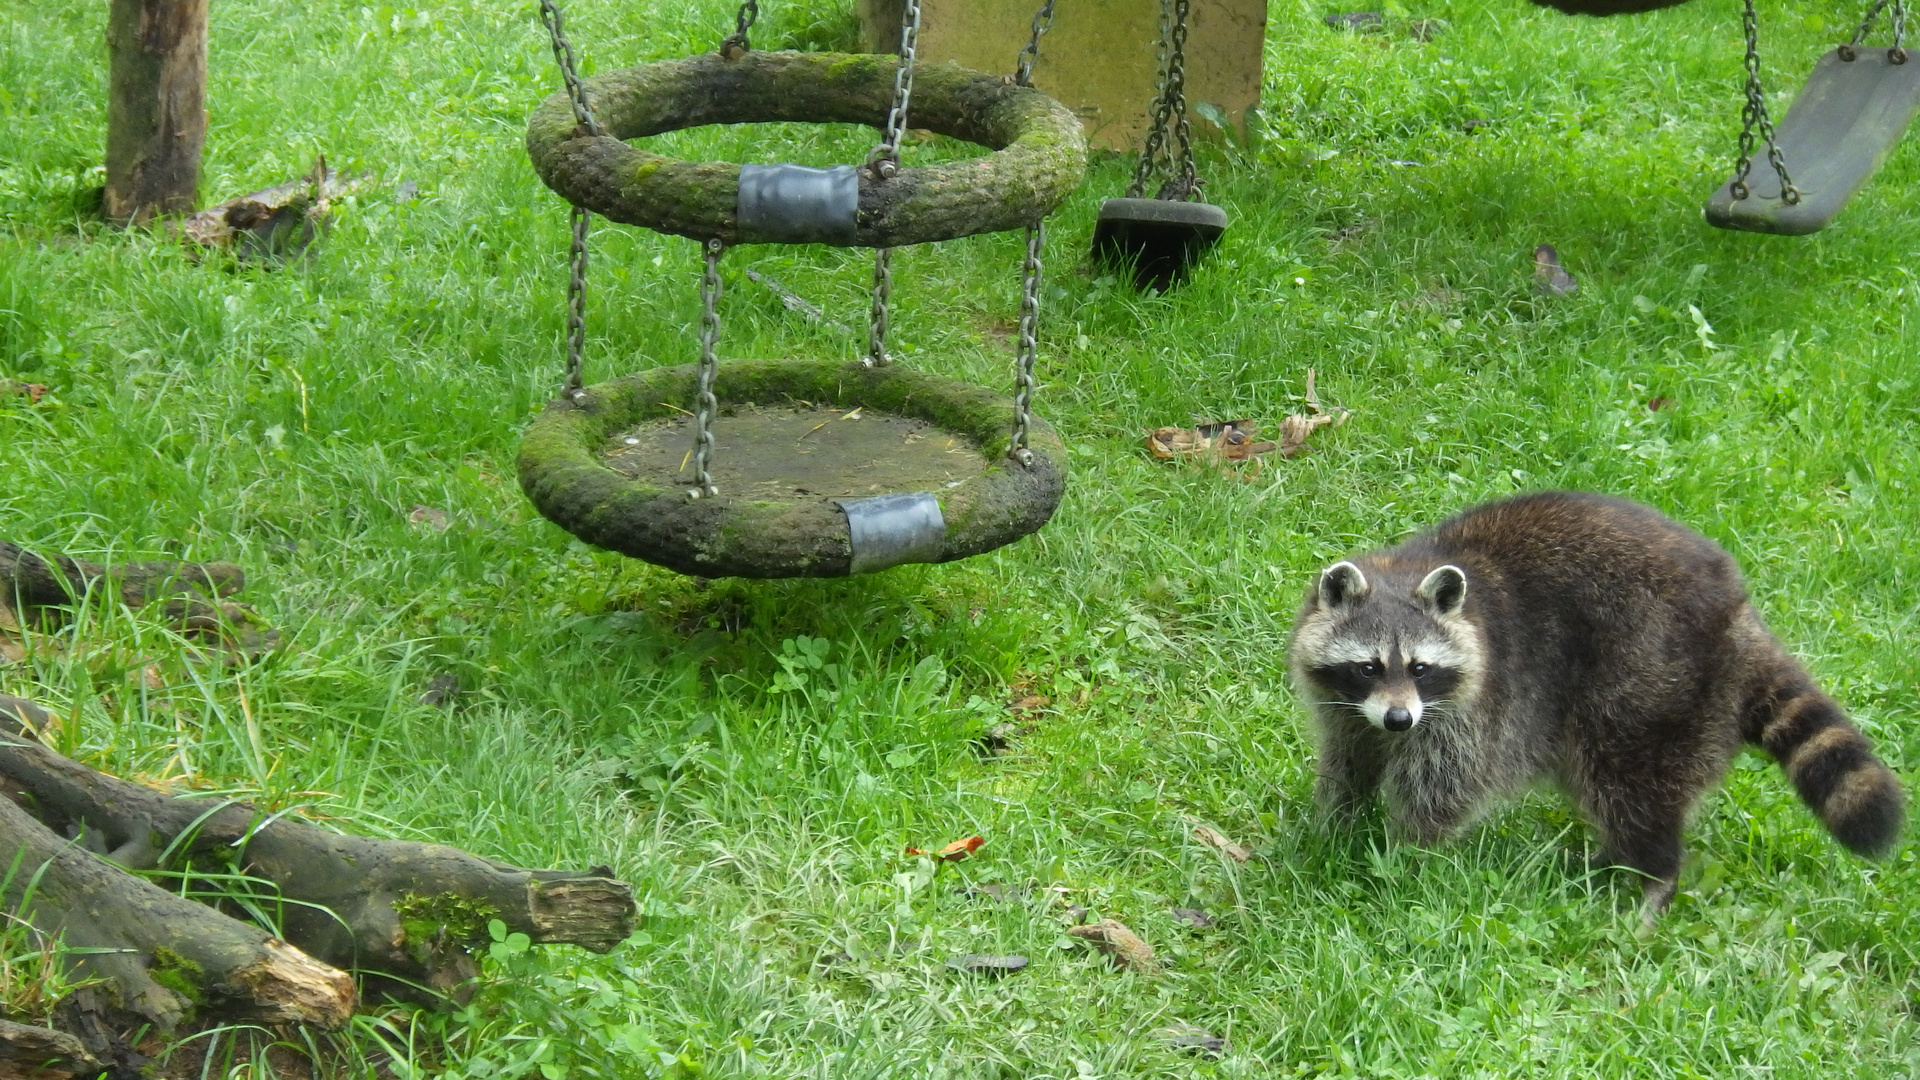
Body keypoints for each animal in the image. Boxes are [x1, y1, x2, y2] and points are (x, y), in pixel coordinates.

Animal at [1290, 491, 1904, 910]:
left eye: (1420, 668)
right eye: (1368, 667)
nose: (1399, 719)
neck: (1407, 568)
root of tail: (1738, 615)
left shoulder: (1478, 707)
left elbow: (1444, 786)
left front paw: (1406, 856)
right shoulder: (1349, 711)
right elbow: (1349, 760)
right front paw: (1333, 828)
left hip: (1652, 682)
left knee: (1629, 785)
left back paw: (1653, 879)